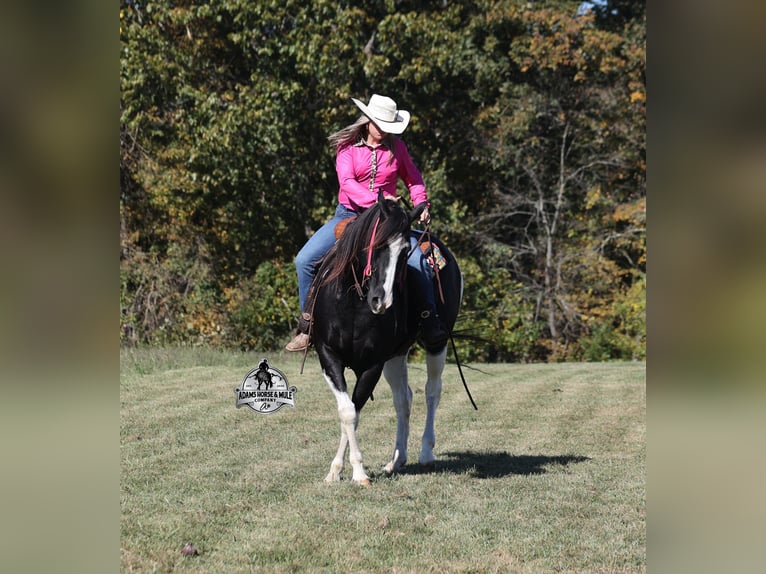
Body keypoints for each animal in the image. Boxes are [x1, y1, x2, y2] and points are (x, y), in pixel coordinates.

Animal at [308, 191, 462, 485]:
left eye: (404, 251)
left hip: (436, 344)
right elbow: (347, 411)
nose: (382, 301)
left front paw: (358, 472)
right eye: (375, 244)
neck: (354, 304)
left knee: (431, 391)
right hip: (396, 355)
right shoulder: (328, 355)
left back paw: (426, 452)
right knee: (403, 399)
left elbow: (354, 411)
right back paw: (396, 459)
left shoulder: (373, 364)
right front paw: (336, 470)